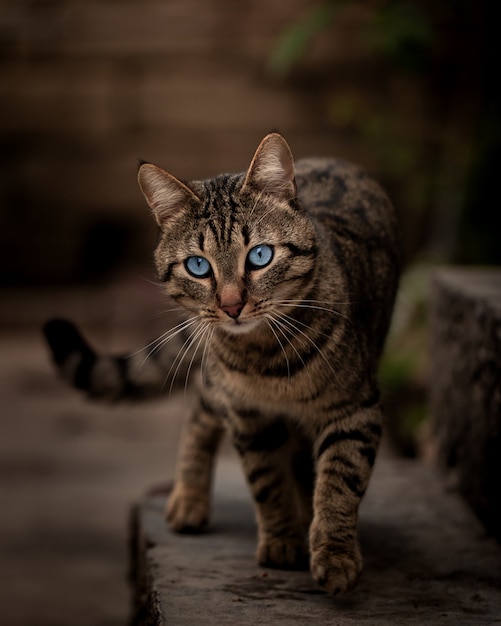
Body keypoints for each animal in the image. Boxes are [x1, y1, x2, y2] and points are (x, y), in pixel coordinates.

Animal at [45, 132, 400, 588]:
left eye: (260, 256)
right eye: (198, 266)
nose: (232, 306)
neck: (265, 358)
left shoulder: (354, 409)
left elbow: (340, 482)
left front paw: (334, 553)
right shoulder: (246, 416)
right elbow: (266, 481)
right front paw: (282, 540)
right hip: (217, 386)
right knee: (200, 410)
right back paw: (189, 498)